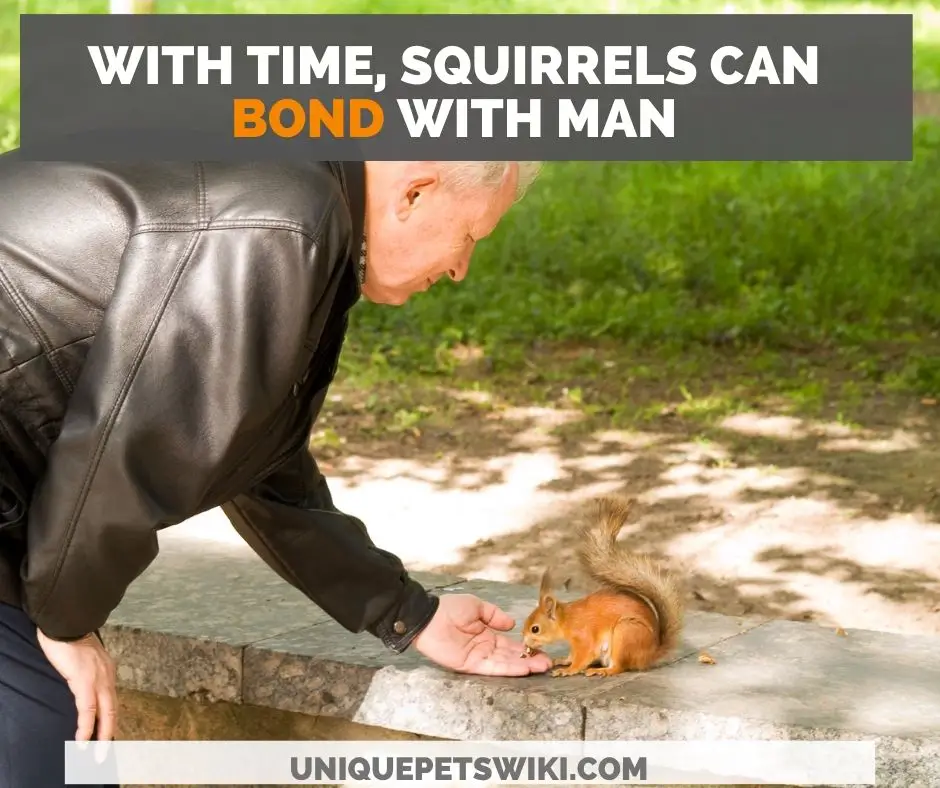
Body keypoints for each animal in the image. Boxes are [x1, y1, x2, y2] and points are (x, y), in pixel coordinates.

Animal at [520, 498, 684, 676]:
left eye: (535, 629)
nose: (524, 643)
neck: (568, 619)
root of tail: (650, 655)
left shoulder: (584, 637)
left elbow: (583, 657)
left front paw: (567, 670)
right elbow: (573, 655)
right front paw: (563, 660)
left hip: (625, 633)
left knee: (618, 667)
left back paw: (602, 671)